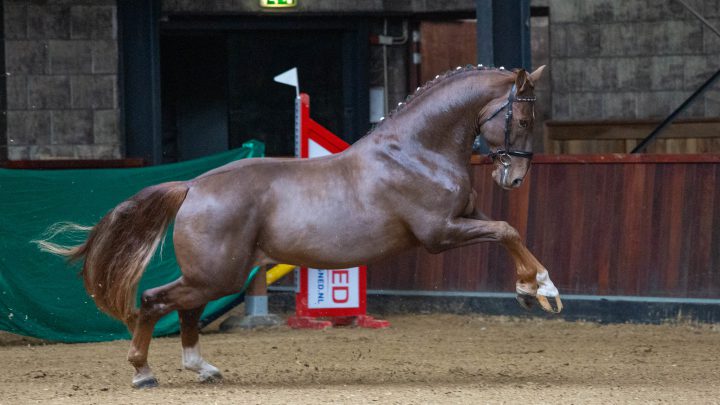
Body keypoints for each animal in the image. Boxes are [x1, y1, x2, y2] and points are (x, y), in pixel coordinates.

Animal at [39, 64, 564, 386]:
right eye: (522, 118)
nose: (515, 178)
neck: (416, 151)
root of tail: (193, 185)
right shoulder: (440, 233)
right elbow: (507, 230)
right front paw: (542, 287)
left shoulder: (464, 218)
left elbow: (509, 232)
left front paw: (532, 288)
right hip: (218, 273)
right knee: (154, 300)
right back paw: (143, 372)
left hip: (213, 274)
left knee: (185, 309)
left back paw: (201, 367)